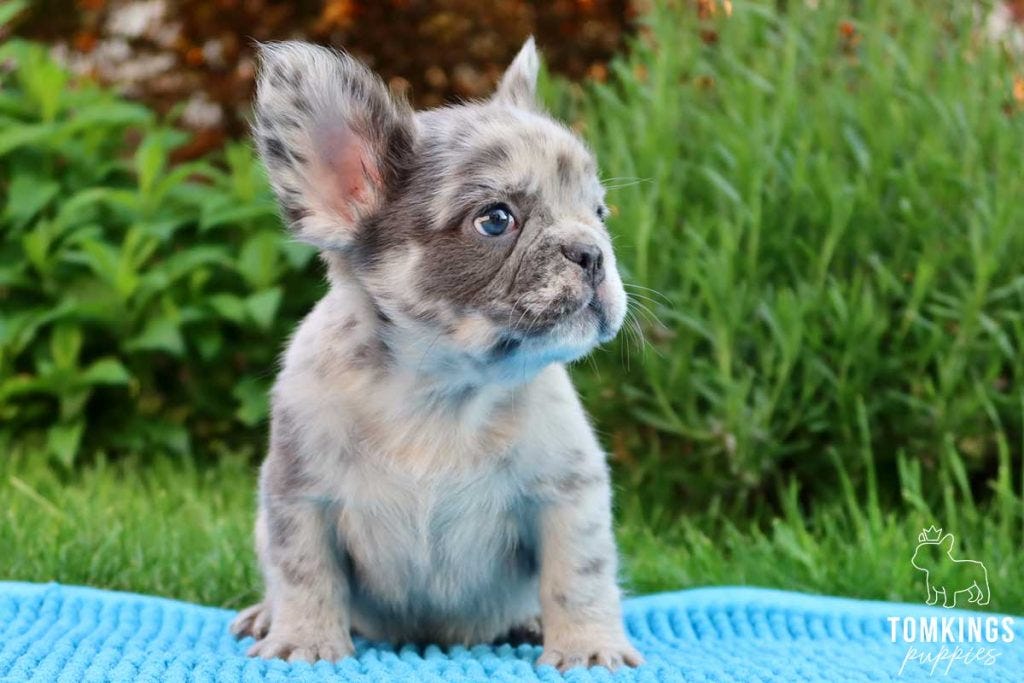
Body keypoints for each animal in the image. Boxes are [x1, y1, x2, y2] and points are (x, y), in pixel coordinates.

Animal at [232, 38, 643, 671]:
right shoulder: (300, 498)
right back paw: (266, 615)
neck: (443, 390)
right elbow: (304, 572)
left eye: (598, 214)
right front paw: (305, 641)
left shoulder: (568, 498)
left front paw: (588, 647)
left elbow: (580, 576)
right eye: (495, 220)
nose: (592, 251)